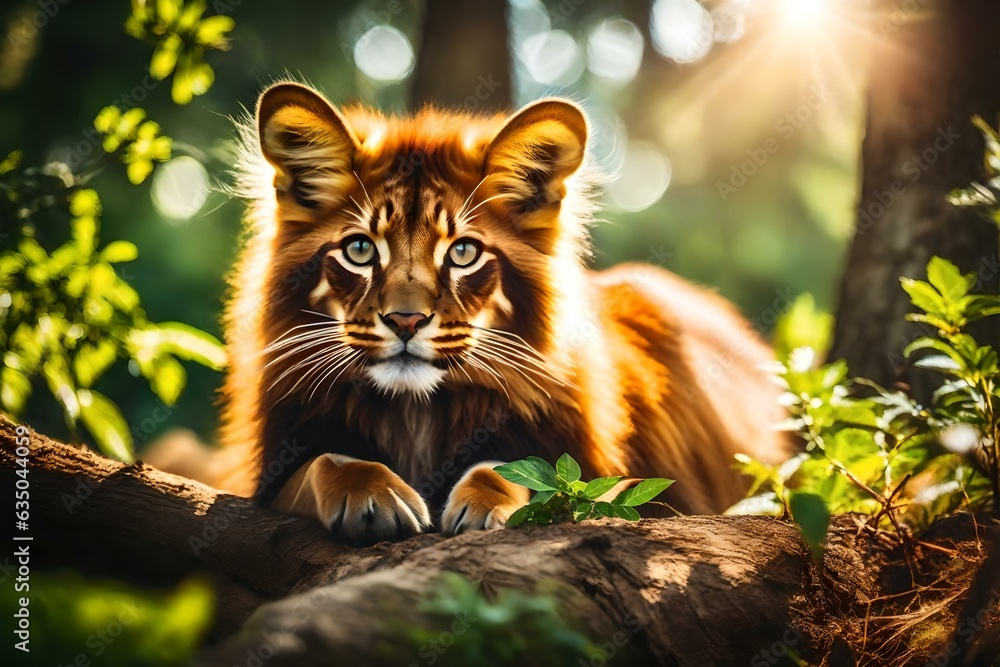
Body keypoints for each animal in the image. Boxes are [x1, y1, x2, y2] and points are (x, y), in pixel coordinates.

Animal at [215, 81, 790, 544]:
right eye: (359, 249)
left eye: (463, 252)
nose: (405, 322)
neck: (416, 411)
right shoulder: (273, 469)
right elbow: (327, 460)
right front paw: (374, 498)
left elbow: (524, 471)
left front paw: (484, 503)